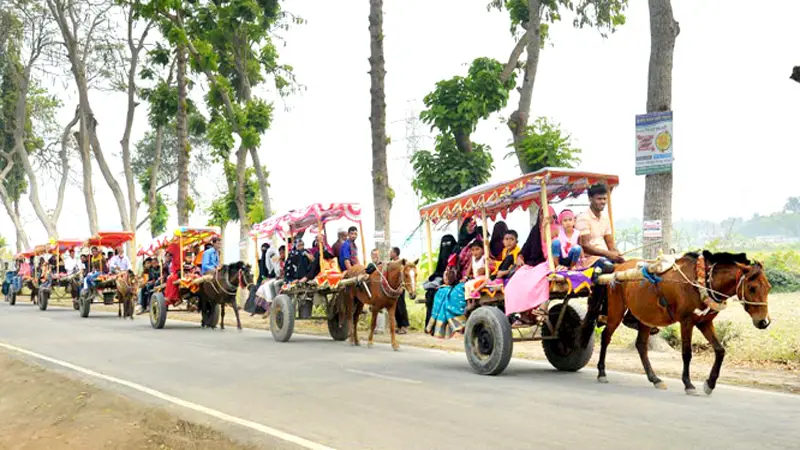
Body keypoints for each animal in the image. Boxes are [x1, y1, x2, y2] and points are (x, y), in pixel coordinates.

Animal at [584, 251, 772, 396]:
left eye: (768, 287)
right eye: (752, 288)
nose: (764, 322)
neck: (703, 282)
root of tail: (617, 269)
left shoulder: (704, 322)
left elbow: (720, 350)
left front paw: (710, 384)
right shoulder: (686, 322)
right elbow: (687, 353)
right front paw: (688, 384)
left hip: (646, 316)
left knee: (641, 345)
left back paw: (655, 379)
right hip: (616, 312)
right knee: (606, 337)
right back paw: (602, 372)